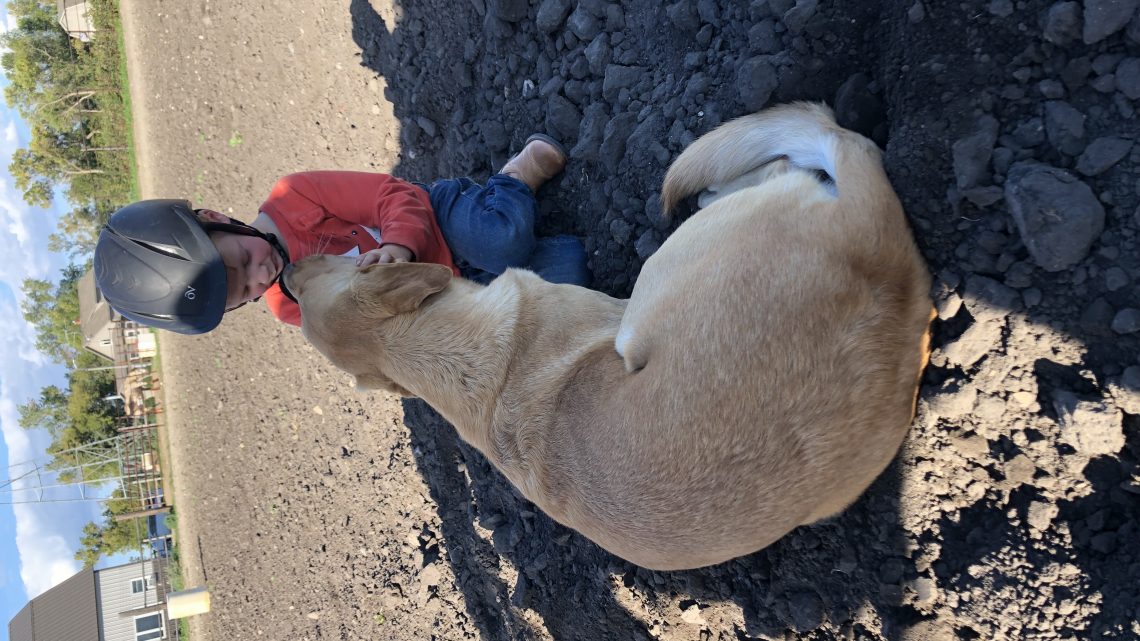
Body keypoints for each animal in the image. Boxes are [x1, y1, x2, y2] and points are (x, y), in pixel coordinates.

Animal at [280, 102, 930, 565]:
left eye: (322, 268)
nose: (285, 273)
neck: (462, 363)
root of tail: (880, 261)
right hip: (659, 285)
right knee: (815, 151)